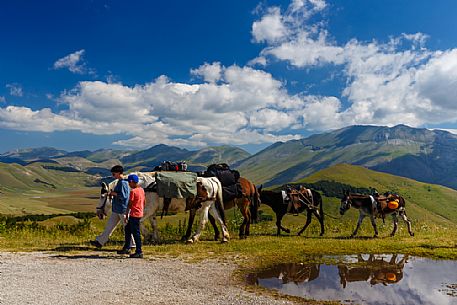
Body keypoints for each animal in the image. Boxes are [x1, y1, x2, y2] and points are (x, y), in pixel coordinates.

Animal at [95, 171, 228, 242]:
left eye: (102, 196)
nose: (98, 213)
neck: (141, 185)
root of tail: (211, 179)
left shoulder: (149, 209)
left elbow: (139, 221)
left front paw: (148, 236)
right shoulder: (152, 210)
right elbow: (153, 223)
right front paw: (154, 238)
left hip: (204, 206)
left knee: (203, 221)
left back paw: (193, 238)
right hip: (211, 206)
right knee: (219, 219)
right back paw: (225, 237)